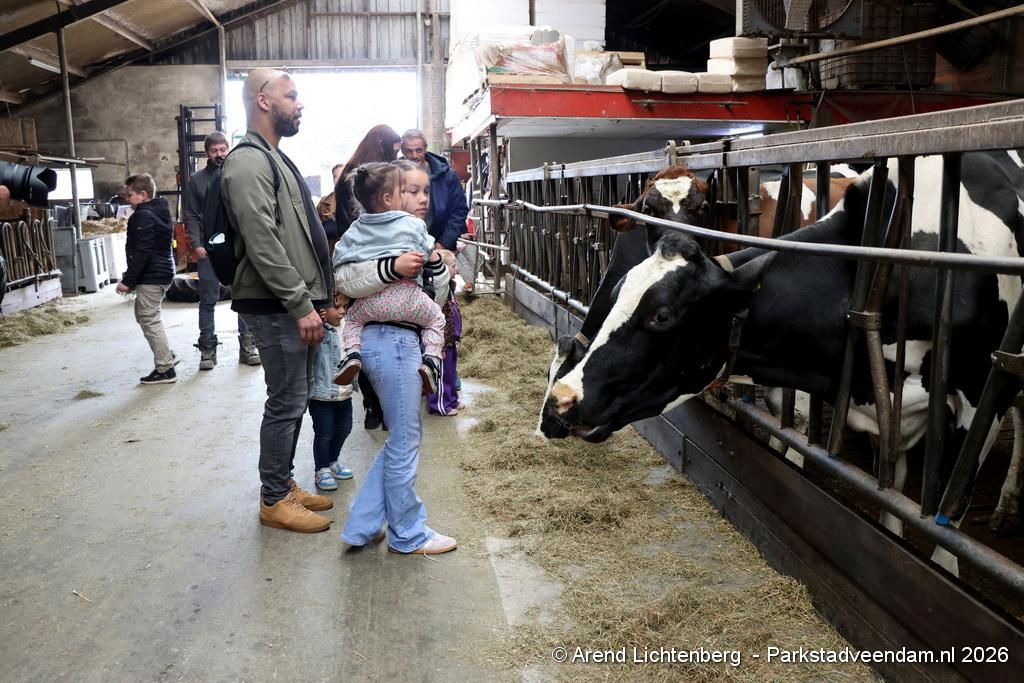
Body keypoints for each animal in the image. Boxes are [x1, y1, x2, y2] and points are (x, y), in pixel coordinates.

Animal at [540, 151, 1024, 567]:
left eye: (661, 316)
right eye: (649, 209)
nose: (561, 402)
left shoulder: (979, 404)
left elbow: (944, 522)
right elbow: (894, 494)